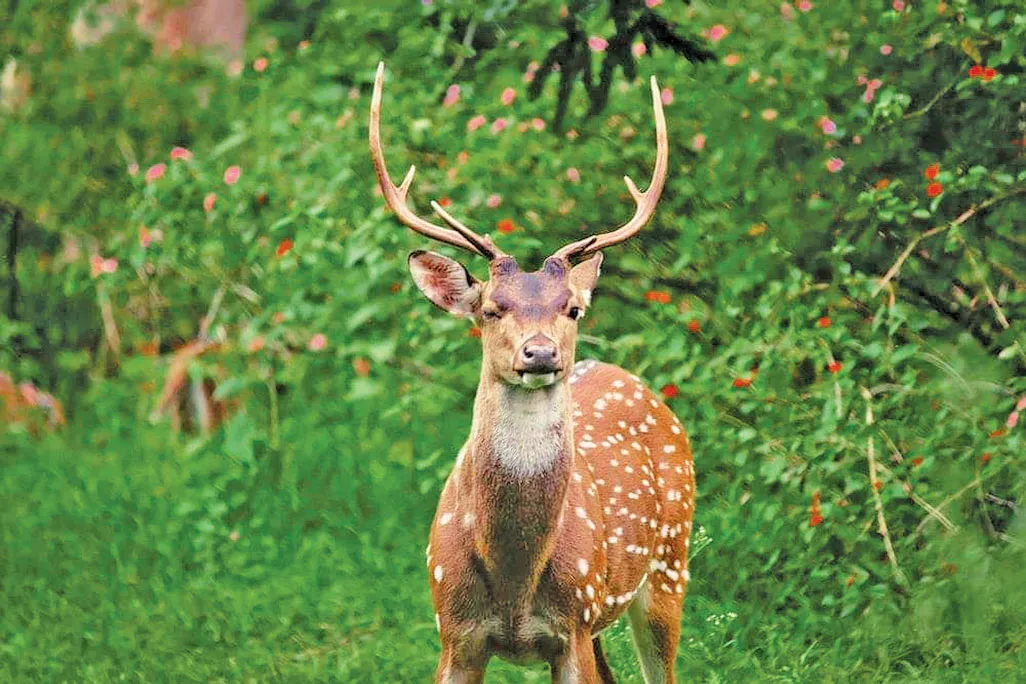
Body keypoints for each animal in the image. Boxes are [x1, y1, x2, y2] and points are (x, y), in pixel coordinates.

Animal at [369, 61, 697, 680]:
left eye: (572, 308)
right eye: (491, 308)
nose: (540, 354)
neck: (514, 578)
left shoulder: (573, 625)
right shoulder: (453, 630)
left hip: (669, 561)